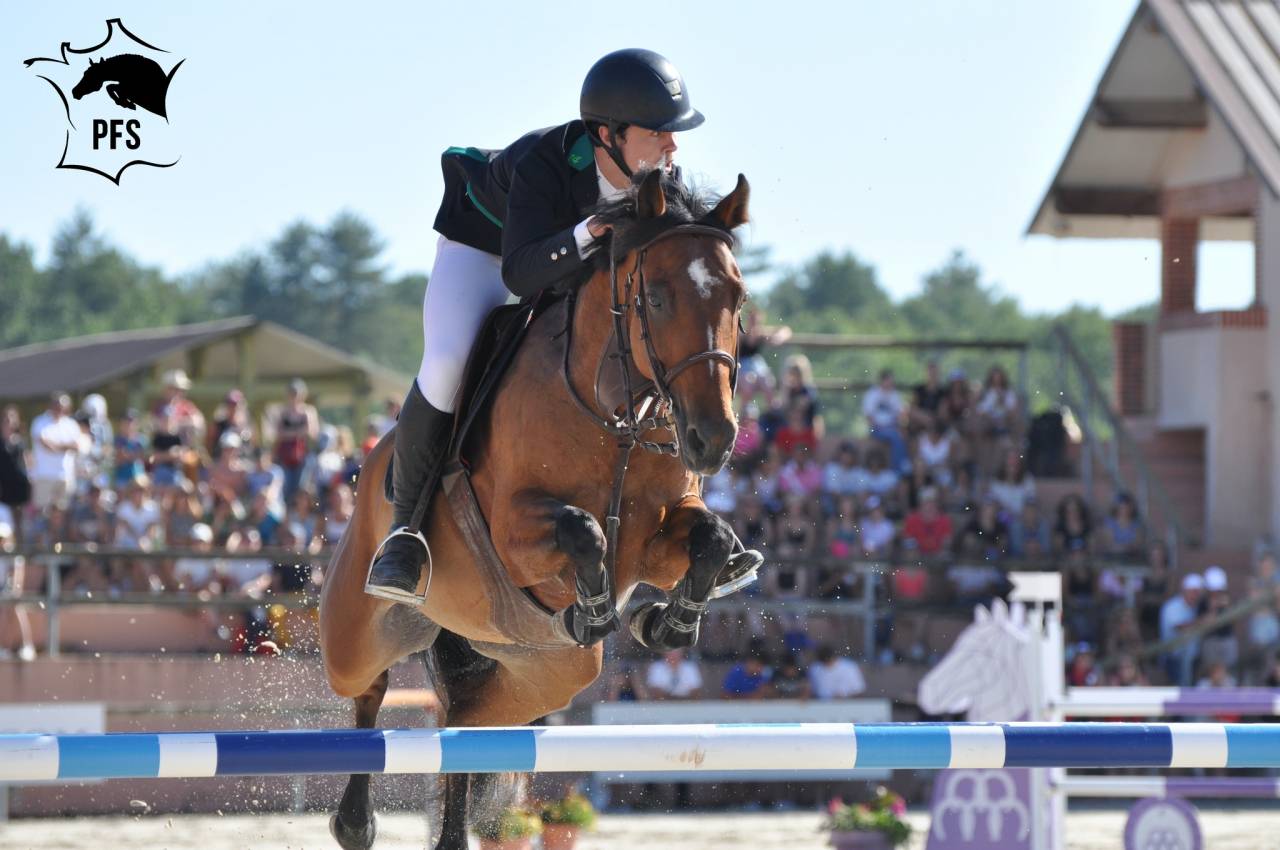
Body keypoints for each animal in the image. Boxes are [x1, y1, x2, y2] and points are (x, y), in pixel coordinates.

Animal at [319, 168, 752, 850]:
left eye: (738, 300)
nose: (713, 440)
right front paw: (595, 609)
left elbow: (708, 535)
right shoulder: (513, 535)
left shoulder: (656, 541)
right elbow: (583, 530)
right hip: (353, 636)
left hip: (547, 672)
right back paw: (355, 821)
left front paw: (666, 623)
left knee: (464, 721)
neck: (613, 416)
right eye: (656, 299)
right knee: (369, 688)